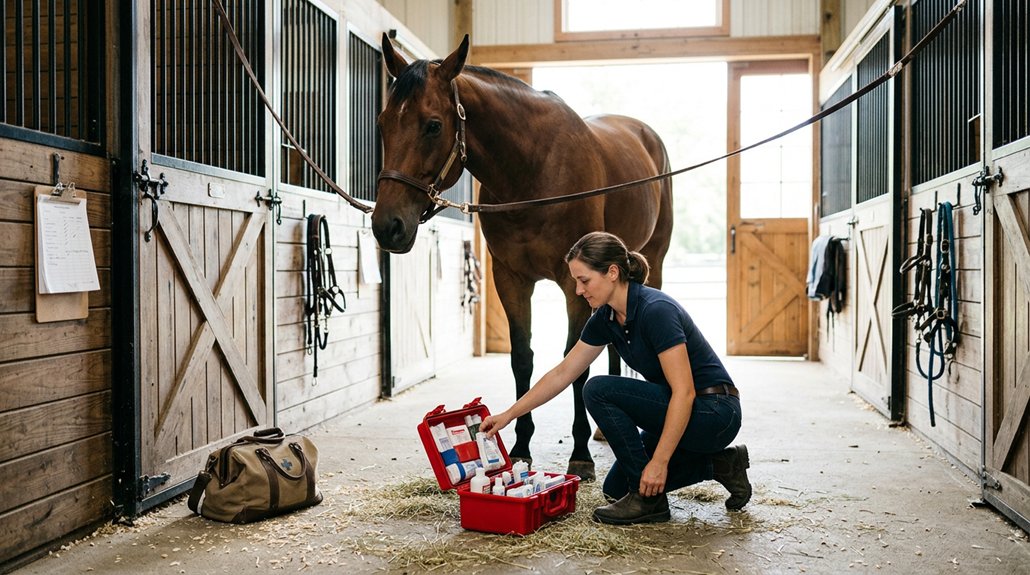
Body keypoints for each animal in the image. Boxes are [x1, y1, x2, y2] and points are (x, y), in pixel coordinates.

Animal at [371, 34, 673, 482]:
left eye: (433, 125)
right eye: (383, 123)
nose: (386, 226)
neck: (533, 172)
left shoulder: (572, 283)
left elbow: (573, 364)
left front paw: (579, 454)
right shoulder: (510, 278)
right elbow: (522, 360)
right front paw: (519, 448)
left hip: (654, 260)